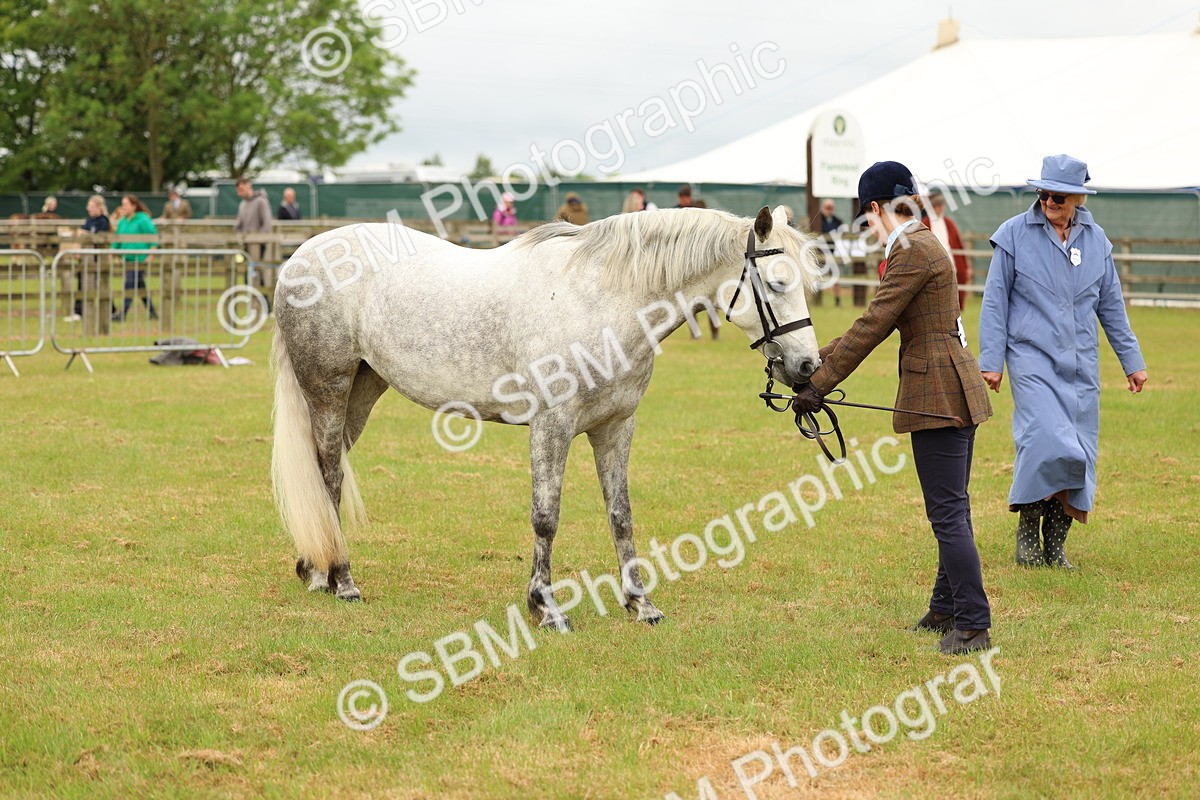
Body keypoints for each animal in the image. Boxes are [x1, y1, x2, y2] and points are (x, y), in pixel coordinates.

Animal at [270, 205, 822, 629]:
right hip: (329, 389)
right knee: (329, 472)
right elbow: (546, 517)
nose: (806, 367)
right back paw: (342, 580)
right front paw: (546, 608)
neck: (603, 300)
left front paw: (640, 604)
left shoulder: (615, 427)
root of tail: (299, 256)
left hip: (363, 390)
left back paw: (317, 571)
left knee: (326, 474)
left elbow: (621, 514)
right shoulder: (551, 426)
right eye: (776, 284)